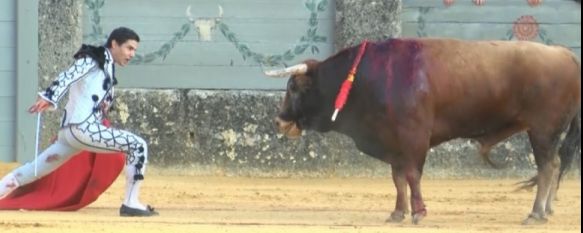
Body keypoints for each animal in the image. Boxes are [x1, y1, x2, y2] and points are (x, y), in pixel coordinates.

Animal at [266, 37, 583, 224]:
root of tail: (566, 54)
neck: (370, 78)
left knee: (547, 166)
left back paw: (536, 213)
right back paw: (546, 210)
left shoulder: (414, 137)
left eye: (293, 88)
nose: (279, 122)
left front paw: (418, 212)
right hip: (547, 134)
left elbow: (412, 176)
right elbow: (397, 179)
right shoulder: (393, 142)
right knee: (554, 165)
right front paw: (397, 212)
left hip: (543, 131)